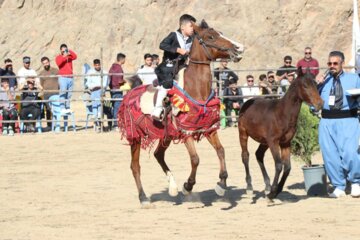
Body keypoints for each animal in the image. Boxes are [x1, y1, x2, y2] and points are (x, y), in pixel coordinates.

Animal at [118, 19, 245, 207]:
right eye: (210, 36)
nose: (238, 48)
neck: (196, 89)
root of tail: (130, 94)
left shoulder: (208, 128)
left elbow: (221, 151)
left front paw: (221, 185)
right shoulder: (186, 132)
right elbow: (195, 159)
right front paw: (188, 186)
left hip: (166, 136)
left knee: (158, 155)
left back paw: (172, 187)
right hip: (136, 137)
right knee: (135, 166)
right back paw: (144, 198)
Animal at [239, 68, 324, 202]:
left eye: (316, 84)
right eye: (305, 85)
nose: (320, 103)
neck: (282, 113)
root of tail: (247, 102)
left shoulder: (285, 143)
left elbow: (287, 167)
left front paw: (275, 191)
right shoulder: (274, 142)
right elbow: (279, 165)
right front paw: (272, 194)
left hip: (264, 142)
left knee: (259, 155)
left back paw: (267, 186)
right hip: (243, 134)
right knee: (245, 156)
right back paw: (249, 188)